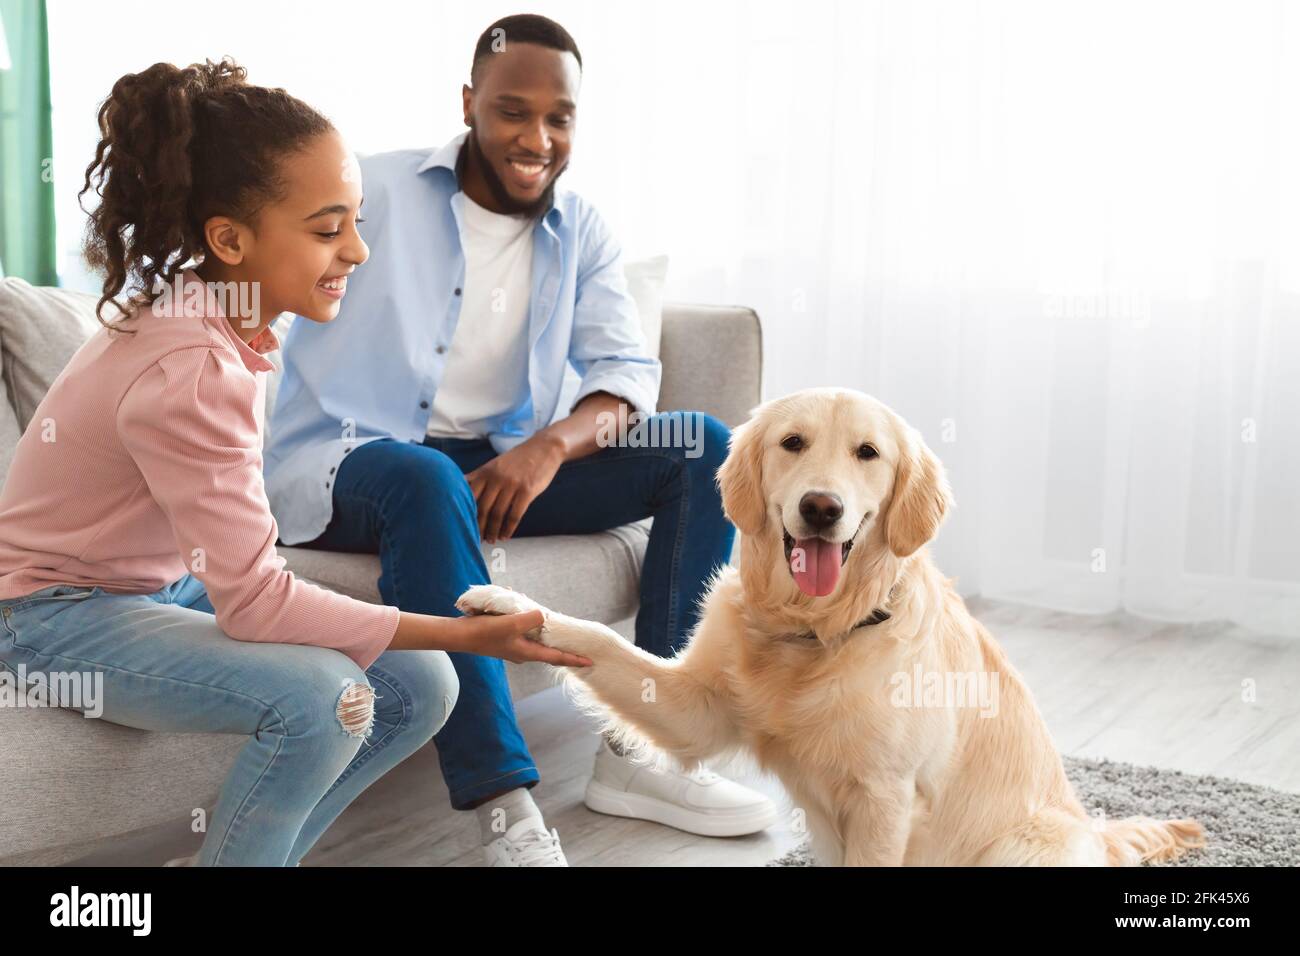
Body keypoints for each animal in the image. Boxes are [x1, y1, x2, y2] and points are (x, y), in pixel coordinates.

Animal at [460, 390, 1206, 868]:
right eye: (793, 443)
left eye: (868, 453)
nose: (822, 507)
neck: (815, 631)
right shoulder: (695, 708)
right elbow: (600, 636)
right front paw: (507, 601)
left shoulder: (885, 799)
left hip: (1022, 847)